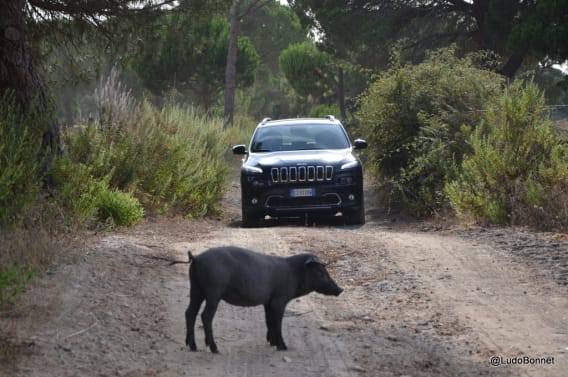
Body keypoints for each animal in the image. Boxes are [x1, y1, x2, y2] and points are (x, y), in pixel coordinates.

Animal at [185, 245, 342, 352]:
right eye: (319, 271)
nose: (340, 289)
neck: (293, 274)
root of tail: (197, 258)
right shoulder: (279, 300)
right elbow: (277, 322)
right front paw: (283, 347)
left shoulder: (268, 301)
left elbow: (269, 320)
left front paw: (272, 342)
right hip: (213, 292)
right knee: (205, 316)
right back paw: (215, 349)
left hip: (196, 289)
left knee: (190, 312)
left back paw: (192, 346)